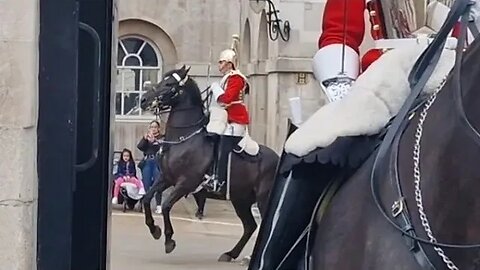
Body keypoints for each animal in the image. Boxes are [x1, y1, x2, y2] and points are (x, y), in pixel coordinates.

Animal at [139, 65, 280, 262]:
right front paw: (154, 229)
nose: (143, 100)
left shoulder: (186, 183)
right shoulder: (166, 178)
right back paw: (231, 254)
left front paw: (169, 240)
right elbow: (146, 198)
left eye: (169, 84)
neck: (184, 138)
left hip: (263, 198)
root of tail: (278, 157)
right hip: (240, 199)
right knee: (250, 226)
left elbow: (166, 205)